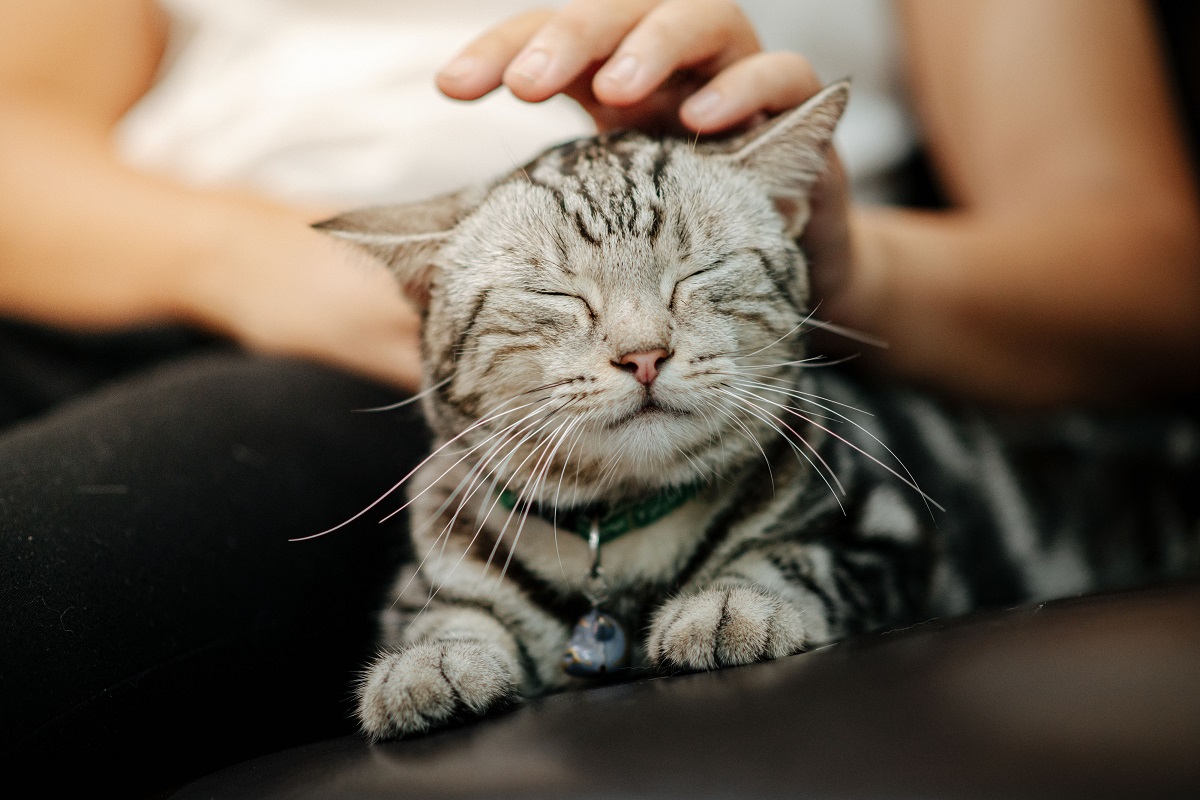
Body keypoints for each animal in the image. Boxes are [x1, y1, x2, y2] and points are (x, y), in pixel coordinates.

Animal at [316, 84, 1200, 743]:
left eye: (697, 274)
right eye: (558, 297)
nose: (644, 354)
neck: (625, 537)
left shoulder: (887, 535)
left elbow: (788, 557)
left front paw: (726, 605)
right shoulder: (425, 580)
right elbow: (446, 619)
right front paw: (427, 667)